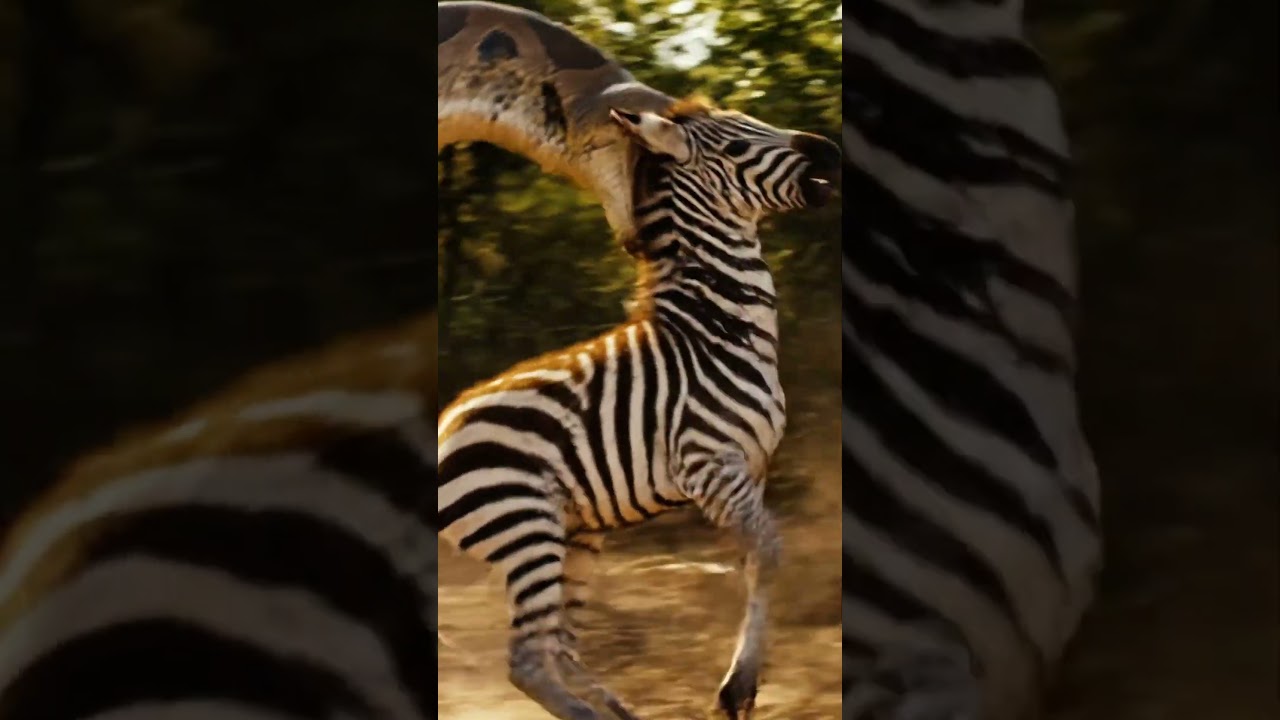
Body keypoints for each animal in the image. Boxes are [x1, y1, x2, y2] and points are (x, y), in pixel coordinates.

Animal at [437, 100, 841, 720]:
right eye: (735, 147)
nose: (830, 149)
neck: (716, 330)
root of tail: (443, 426)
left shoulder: (751, 469)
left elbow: (753, 561)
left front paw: (742, 683)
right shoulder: (708, 465)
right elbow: (772, 552)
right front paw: (737, 684)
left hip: (575, 535)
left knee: (558, 645)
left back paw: (618, 710)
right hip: (525, 529)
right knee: (527, 659)